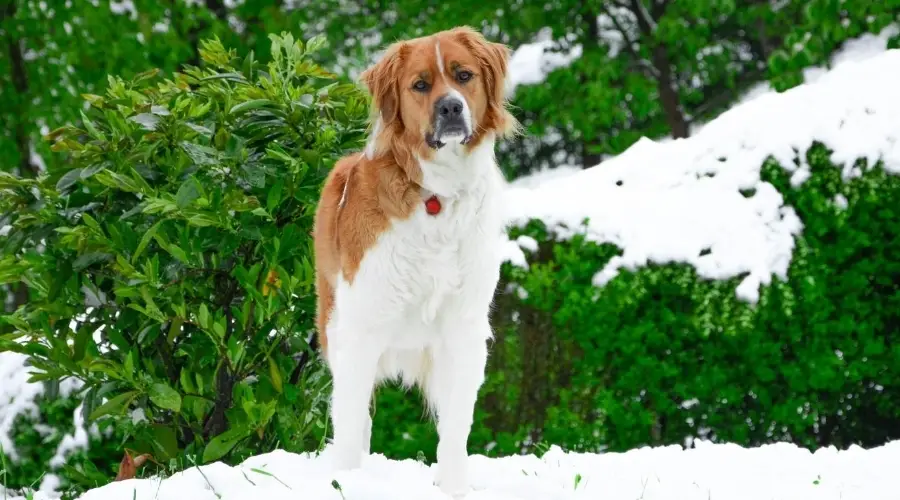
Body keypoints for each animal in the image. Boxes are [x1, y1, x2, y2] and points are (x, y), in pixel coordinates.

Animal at [312, 26, 516, 496]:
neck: (437, 192)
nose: (451, 107)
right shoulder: (361, 325)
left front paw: (454, 487)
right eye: (420, 85)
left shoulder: (463, 328)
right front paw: (345, 483)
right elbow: (350, 419)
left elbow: (456, 425)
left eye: (464, 76)